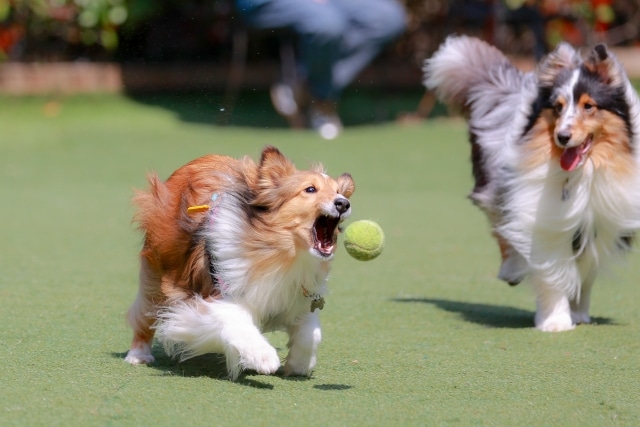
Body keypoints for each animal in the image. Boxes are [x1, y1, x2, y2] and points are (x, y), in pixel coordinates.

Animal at [125, 145, 356, 380]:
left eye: (338, 191)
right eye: (310, 189)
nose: (343, 203)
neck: (283, 255)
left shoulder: (299, 299)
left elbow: (311, 333)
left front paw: (300, 364)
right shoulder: (212, 296)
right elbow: (237, 321)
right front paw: (263, 357)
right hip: (156, 281)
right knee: (143, 317)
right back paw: (138, 355)